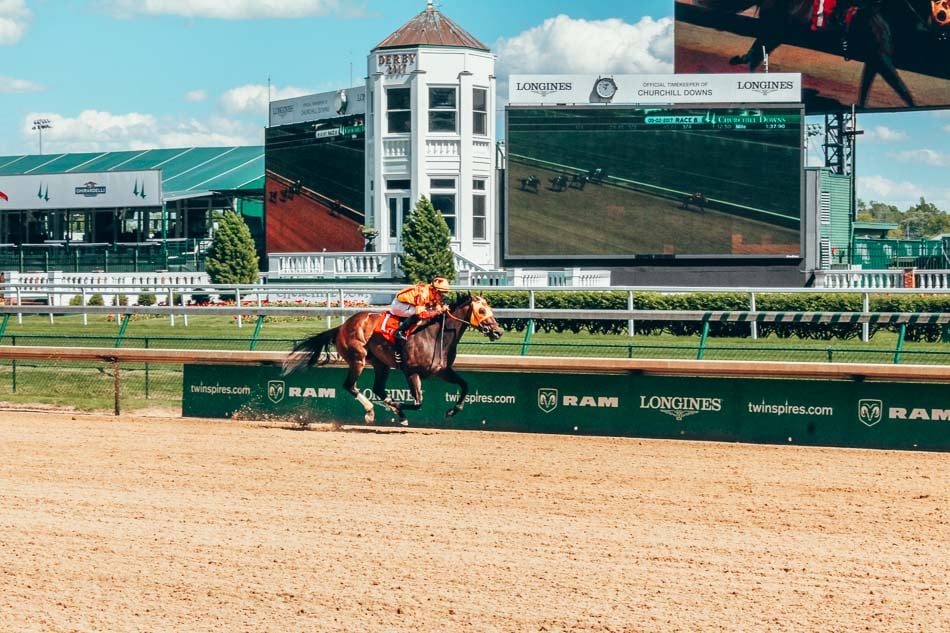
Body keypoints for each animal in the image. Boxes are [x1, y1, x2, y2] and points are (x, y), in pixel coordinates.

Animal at [282, 292, 506, 424]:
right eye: (482, 310)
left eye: (490, 308)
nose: (498, 331)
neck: (435, 335)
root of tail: (342, 326)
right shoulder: (411, 372)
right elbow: (418, 403)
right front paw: (397, 409)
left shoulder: (442, 371)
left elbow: (465, 385)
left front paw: (452, 411)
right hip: (358, 359)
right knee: (350, 386)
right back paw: (372, 411)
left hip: (381, 364)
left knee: (378, 389)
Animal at [704, 0, 932, 107]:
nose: (925, 27)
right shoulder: (880, 59)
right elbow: (903, 90)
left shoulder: (874, 61)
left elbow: (865, 92)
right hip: (775, 32)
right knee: (755, 57)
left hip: (775, 34)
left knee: (754, 56)